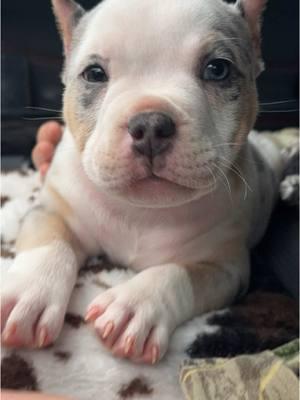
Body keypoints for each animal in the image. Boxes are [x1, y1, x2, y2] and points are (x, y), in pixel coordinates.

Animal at [1, 0, 284, 364]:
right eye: (94, 74)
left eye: (217, 69)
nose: (150, 124)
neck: (141, 211)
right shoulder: (55, 210)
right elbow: (50, 243)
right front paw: (27, 294)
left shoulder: (225, 266)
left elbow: (177, 274)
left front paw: (136, 306)